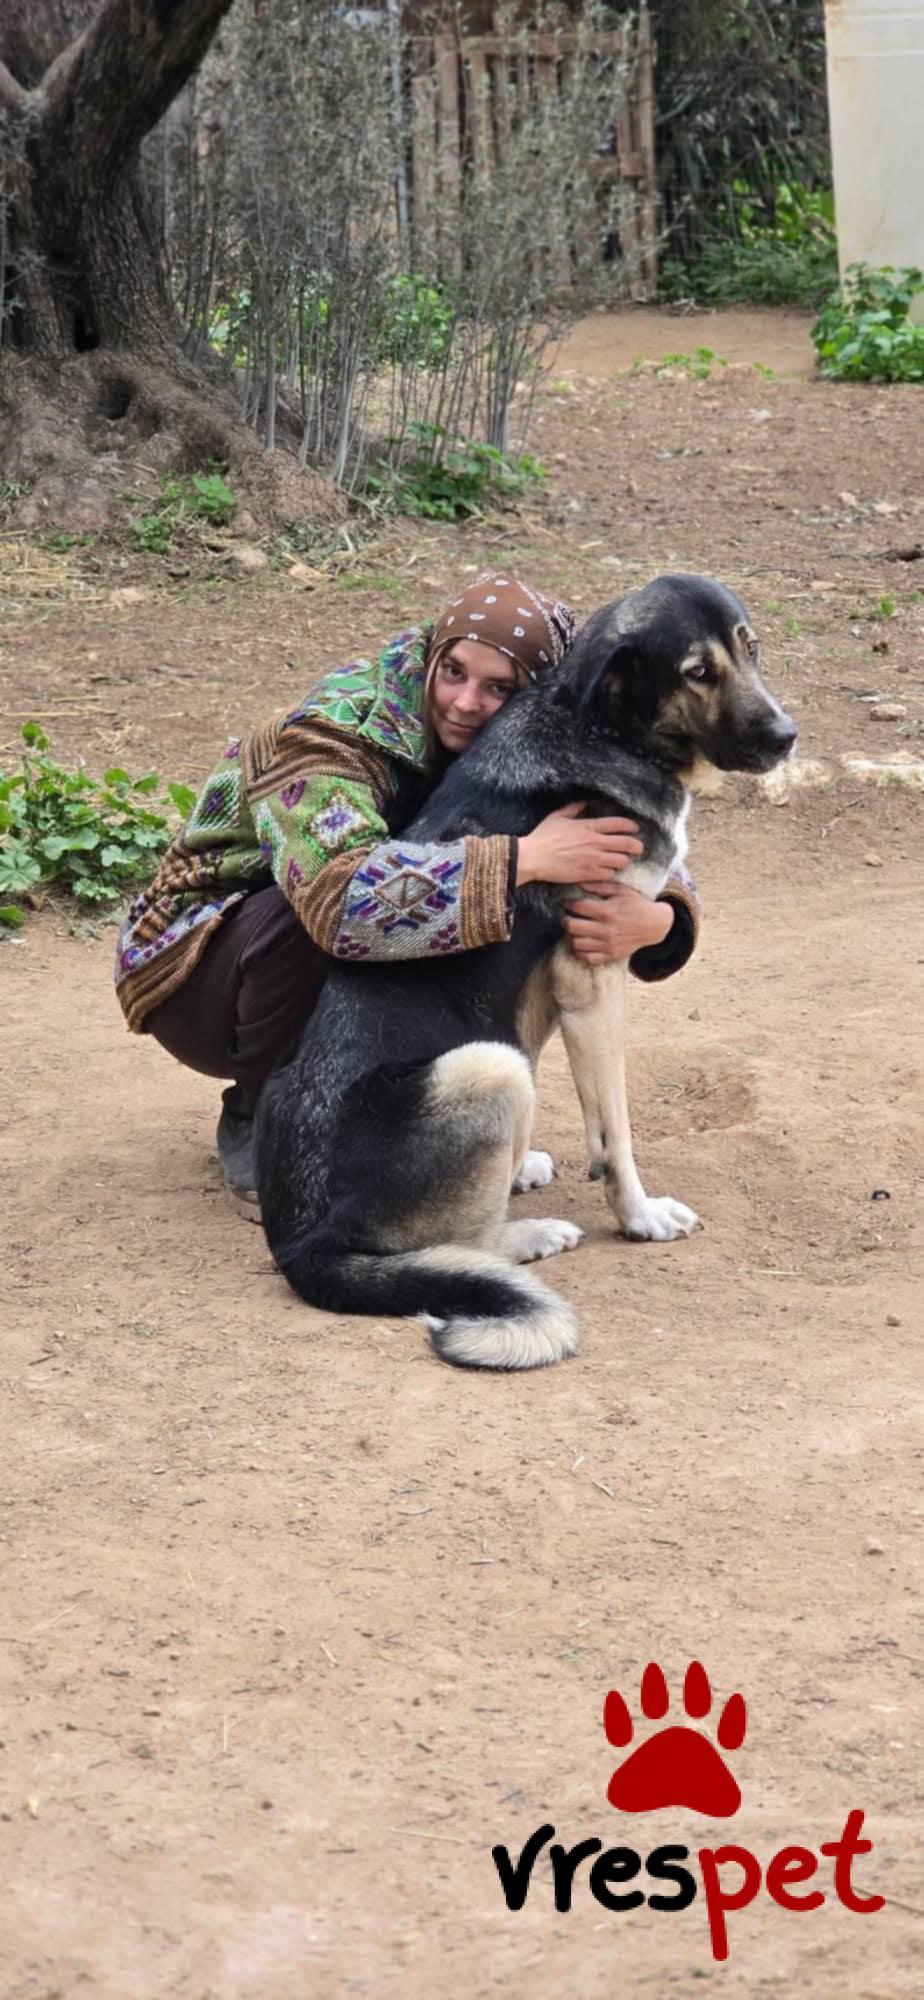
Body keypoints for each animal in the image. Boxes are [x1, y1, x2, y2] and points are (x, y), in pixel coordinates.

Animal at [255, 574, 796, 1370]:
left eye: (749, 648)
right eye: (697, 672)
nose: (787, 737)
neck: (602, 728)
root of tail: (299, 1245)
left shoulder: (542, 987)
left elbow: (566, 1088)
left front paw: (518, 1168)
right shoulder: (589, 970)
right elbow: (616, 1129)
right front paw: (639, 1216)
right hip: (485, 1065)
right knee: (465, 1245)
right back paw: (530, 1236)